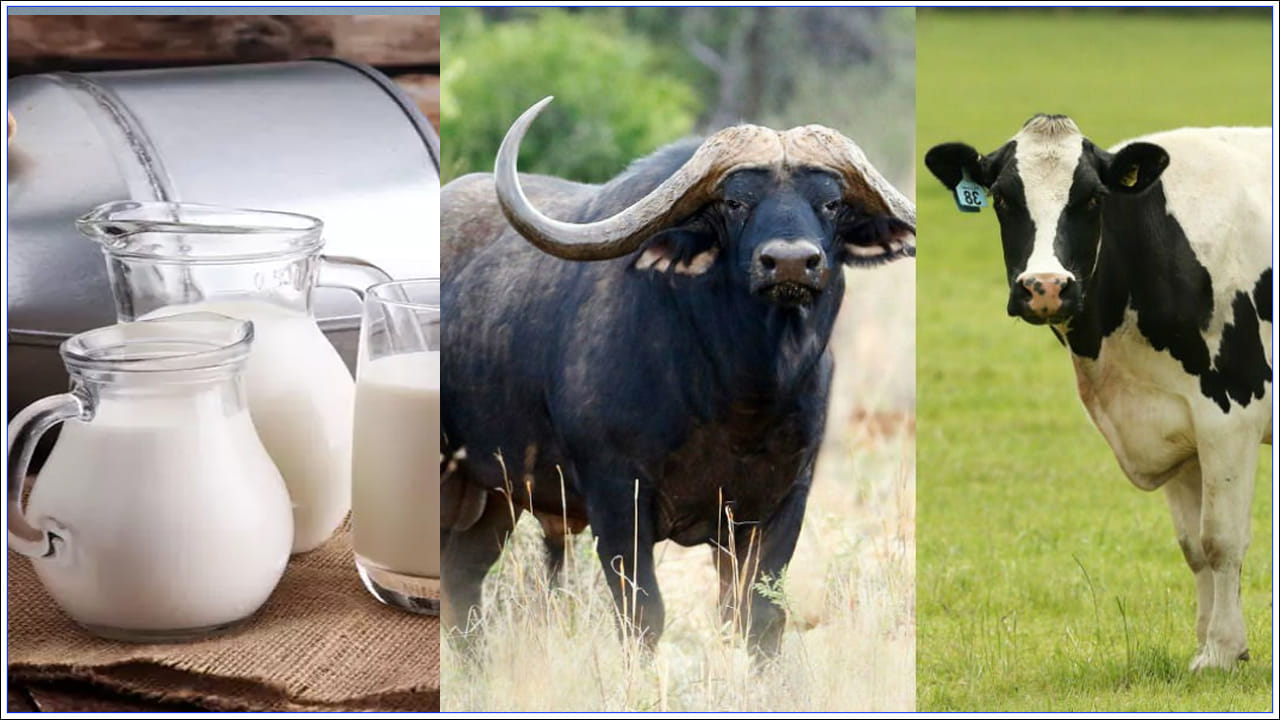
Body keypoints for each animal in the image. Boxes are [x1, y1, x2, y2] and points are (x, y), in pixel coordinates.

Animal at [441, 97, 915, 656]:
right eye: (735, 203)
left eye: (832, 203)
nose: (790, 263)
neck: (738, 396)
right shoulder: (617, 499)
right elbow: (642, 616)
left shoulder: (781, 504)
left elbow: (760, 618)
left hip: (494, 494)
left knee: (462, 578)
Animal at [925, 114, 1272, 671]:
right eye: (1002, 198)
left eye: (1091, 198)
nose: (1045, 286)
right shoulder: (1176, 422)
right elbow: (1193, 547)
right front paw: (1209, 644)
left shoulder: (1230, 414)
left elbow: (1222, 539)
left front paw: (1219, 652)